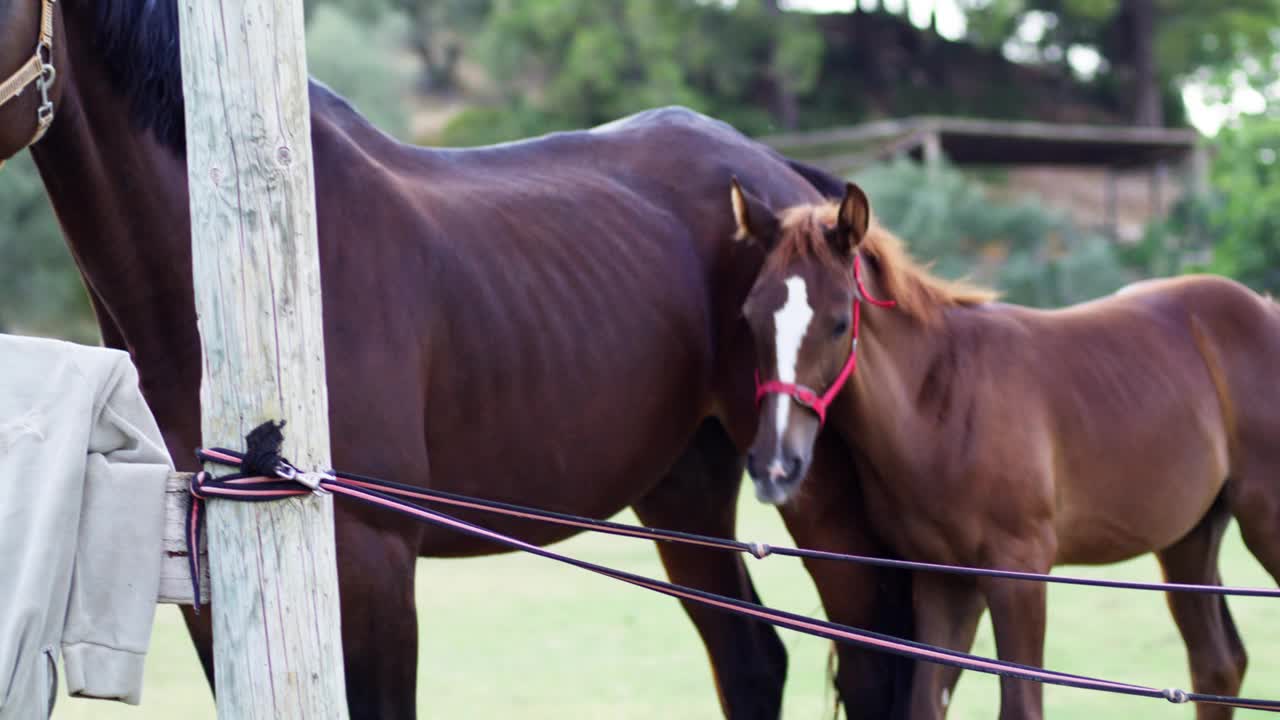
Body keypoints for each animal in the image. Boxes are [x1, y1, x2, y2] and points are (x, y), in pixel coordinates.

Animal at [2, 2, 921, 712]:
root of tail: (792, 187)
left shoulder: (372, 563)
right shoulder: (204, 586)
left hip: (814, 492)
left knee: (872, 667)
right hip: (684, 489)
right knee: (752, 660)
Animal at [732, 180, 1280, 720]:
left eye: (839, 323)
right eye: (750, 316)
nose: (775, 466)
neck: (939, 403)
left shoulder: (1019, 570)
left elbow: (1021, 705)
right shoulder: (944, 581)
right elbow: (925, 703)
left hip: (1262, 521)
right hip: (1189, 536)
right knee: (1217, 664)